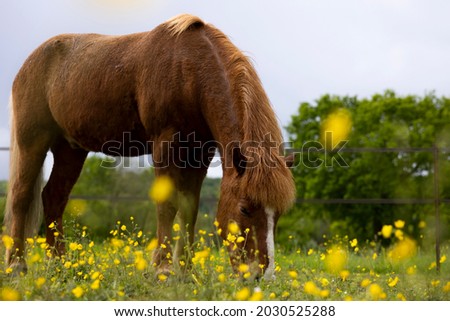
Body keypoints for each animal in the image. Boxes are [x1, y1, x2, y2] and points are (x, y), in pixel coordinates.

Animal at [4, 13, 298, 278]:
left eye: (279, 214)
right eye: (245, 208)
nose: (262, 275)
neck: (190, 69)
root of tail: (30, 63)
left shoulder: (199, 153)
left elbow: (189, 209)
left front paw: (186, 271)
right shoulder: (165, 145)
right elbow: (167, 205)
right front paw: (163, 270)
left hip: (70, 150)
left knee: (53, 197)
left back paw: (60, 265)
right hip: (33, 140)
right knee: (21, 196)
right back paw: (17, 266)